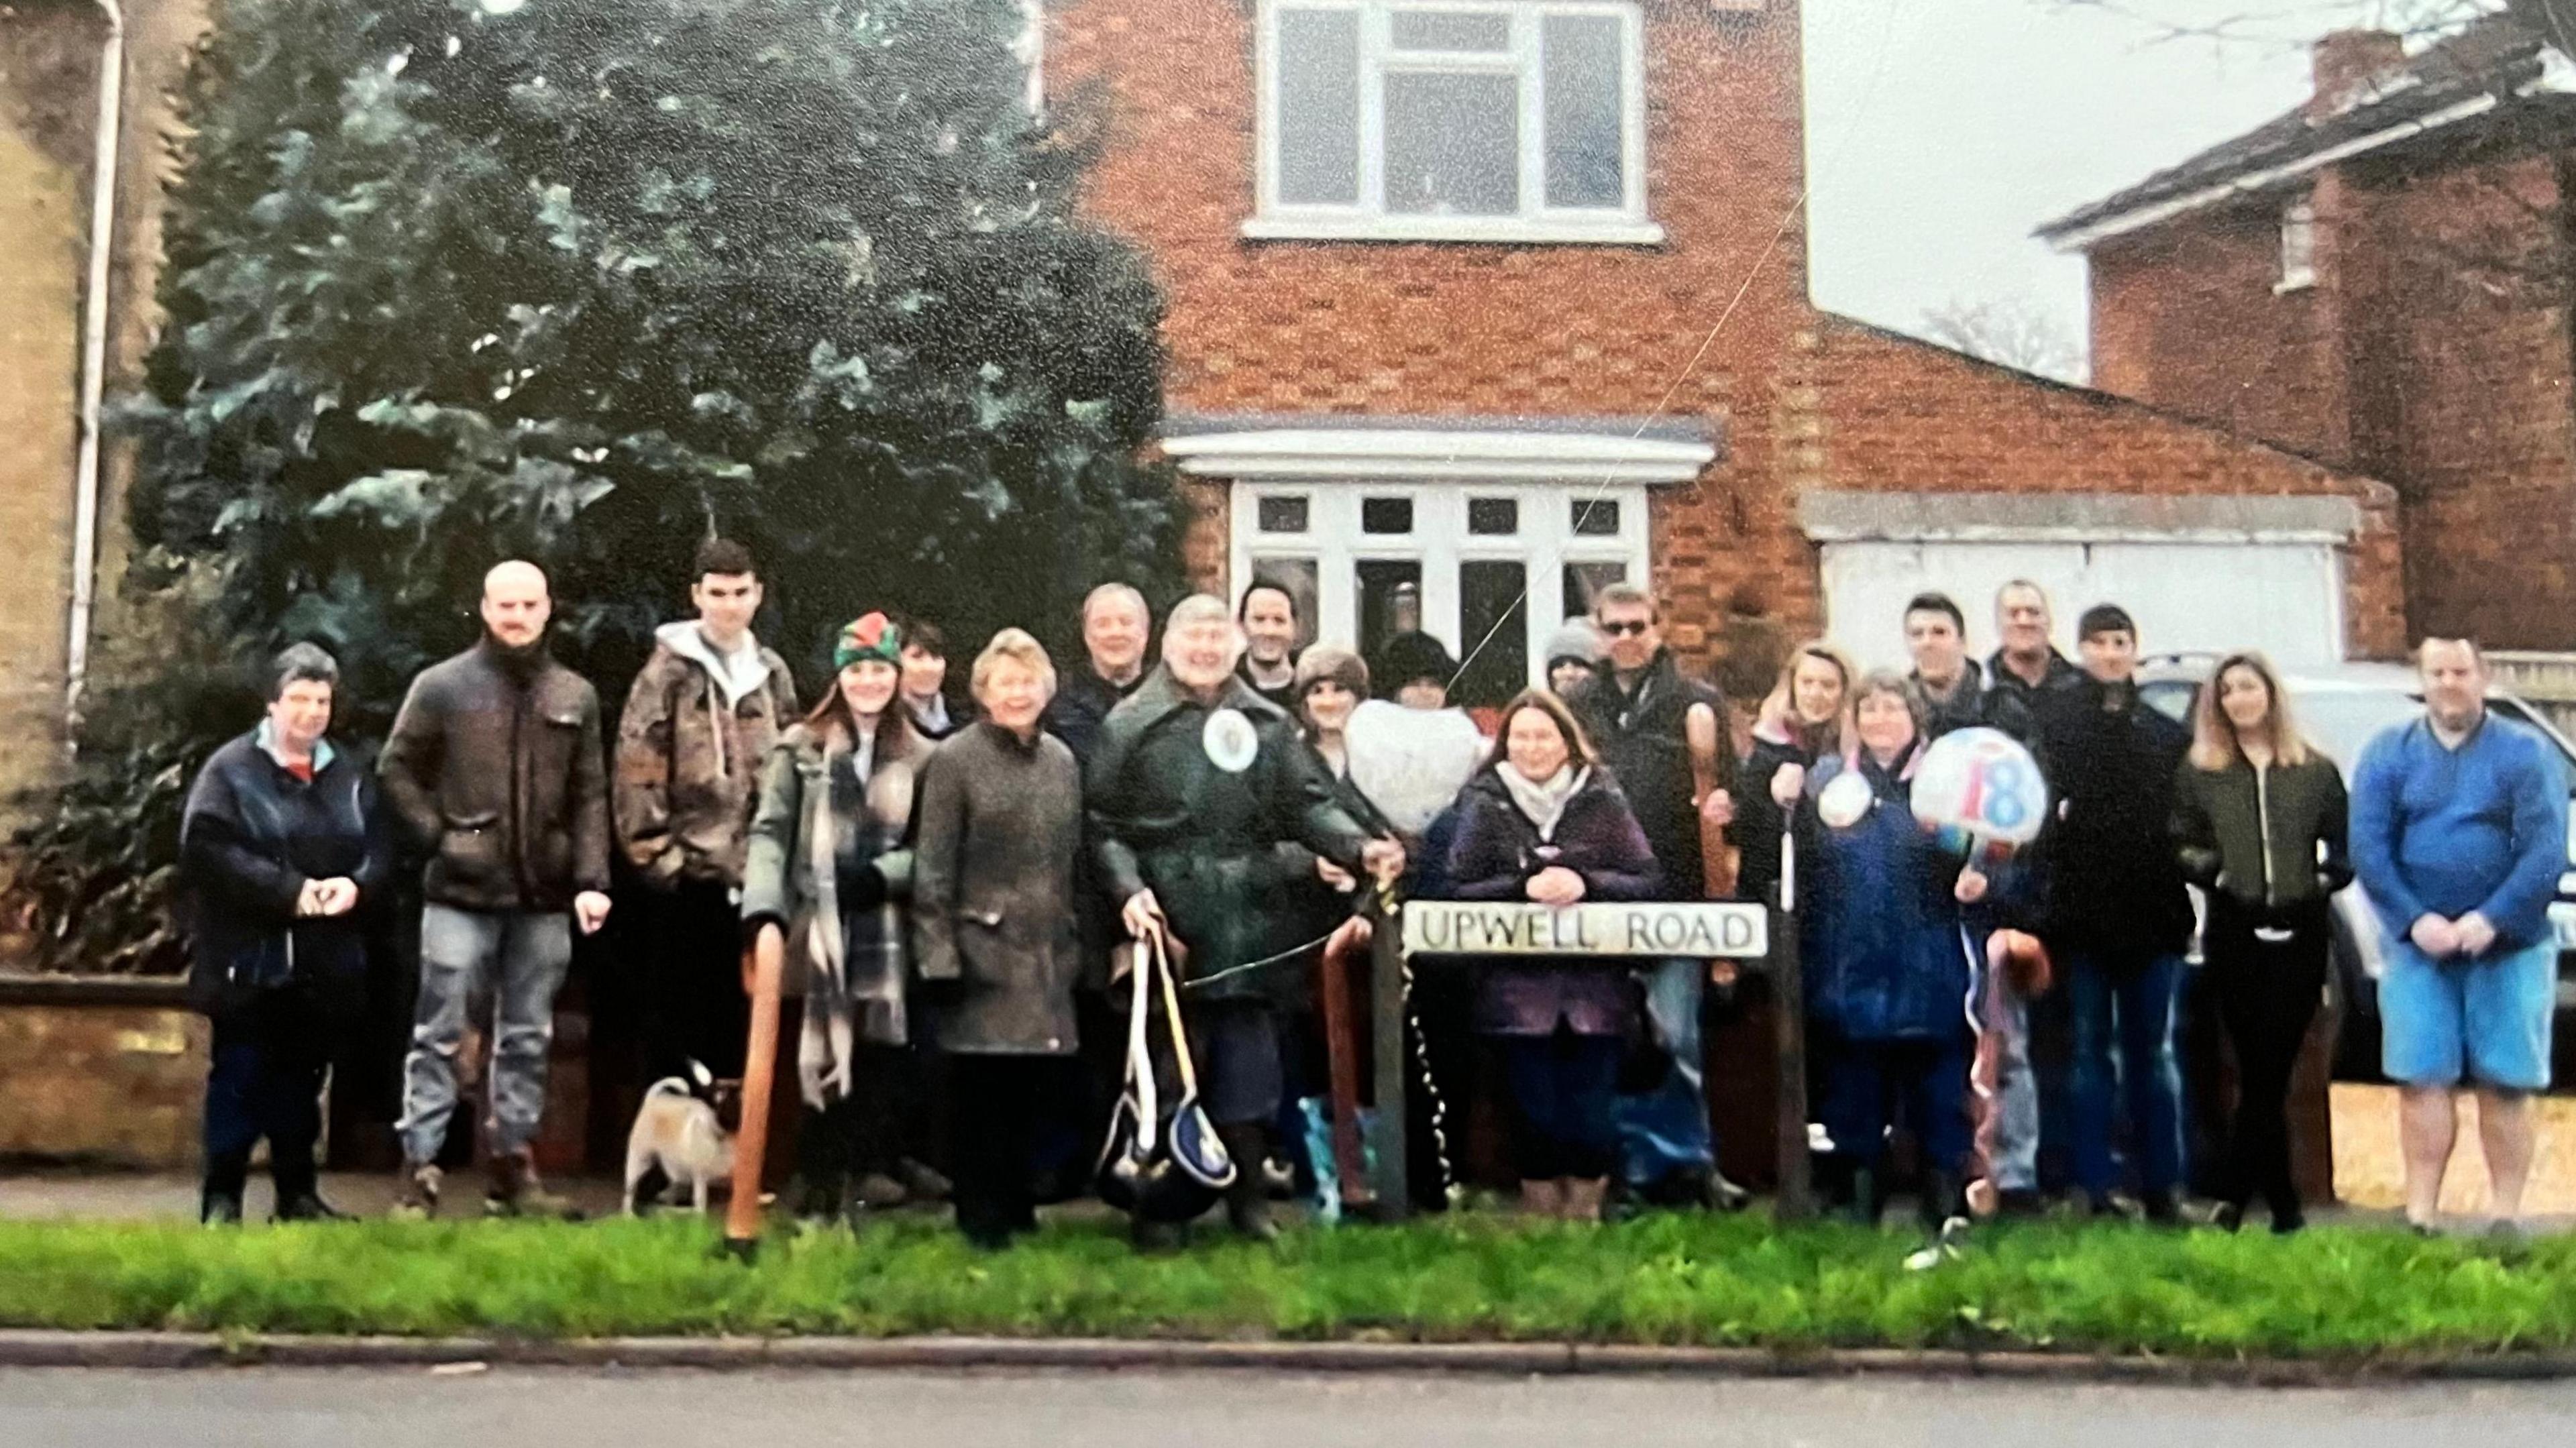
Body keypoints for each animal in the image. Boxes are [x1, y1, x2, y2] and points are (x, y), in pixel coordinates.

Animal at [621, 1056, 737, 1211]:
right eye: (721, 1104)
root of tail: (653, 1099)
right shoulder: (700, 1176)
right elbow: (700, 1201)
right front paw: (699, 1215)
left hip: (671, 1163)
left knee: (674, 1185)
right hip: (640, 1160)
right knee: (630, 1190)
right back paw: (630, 1213)